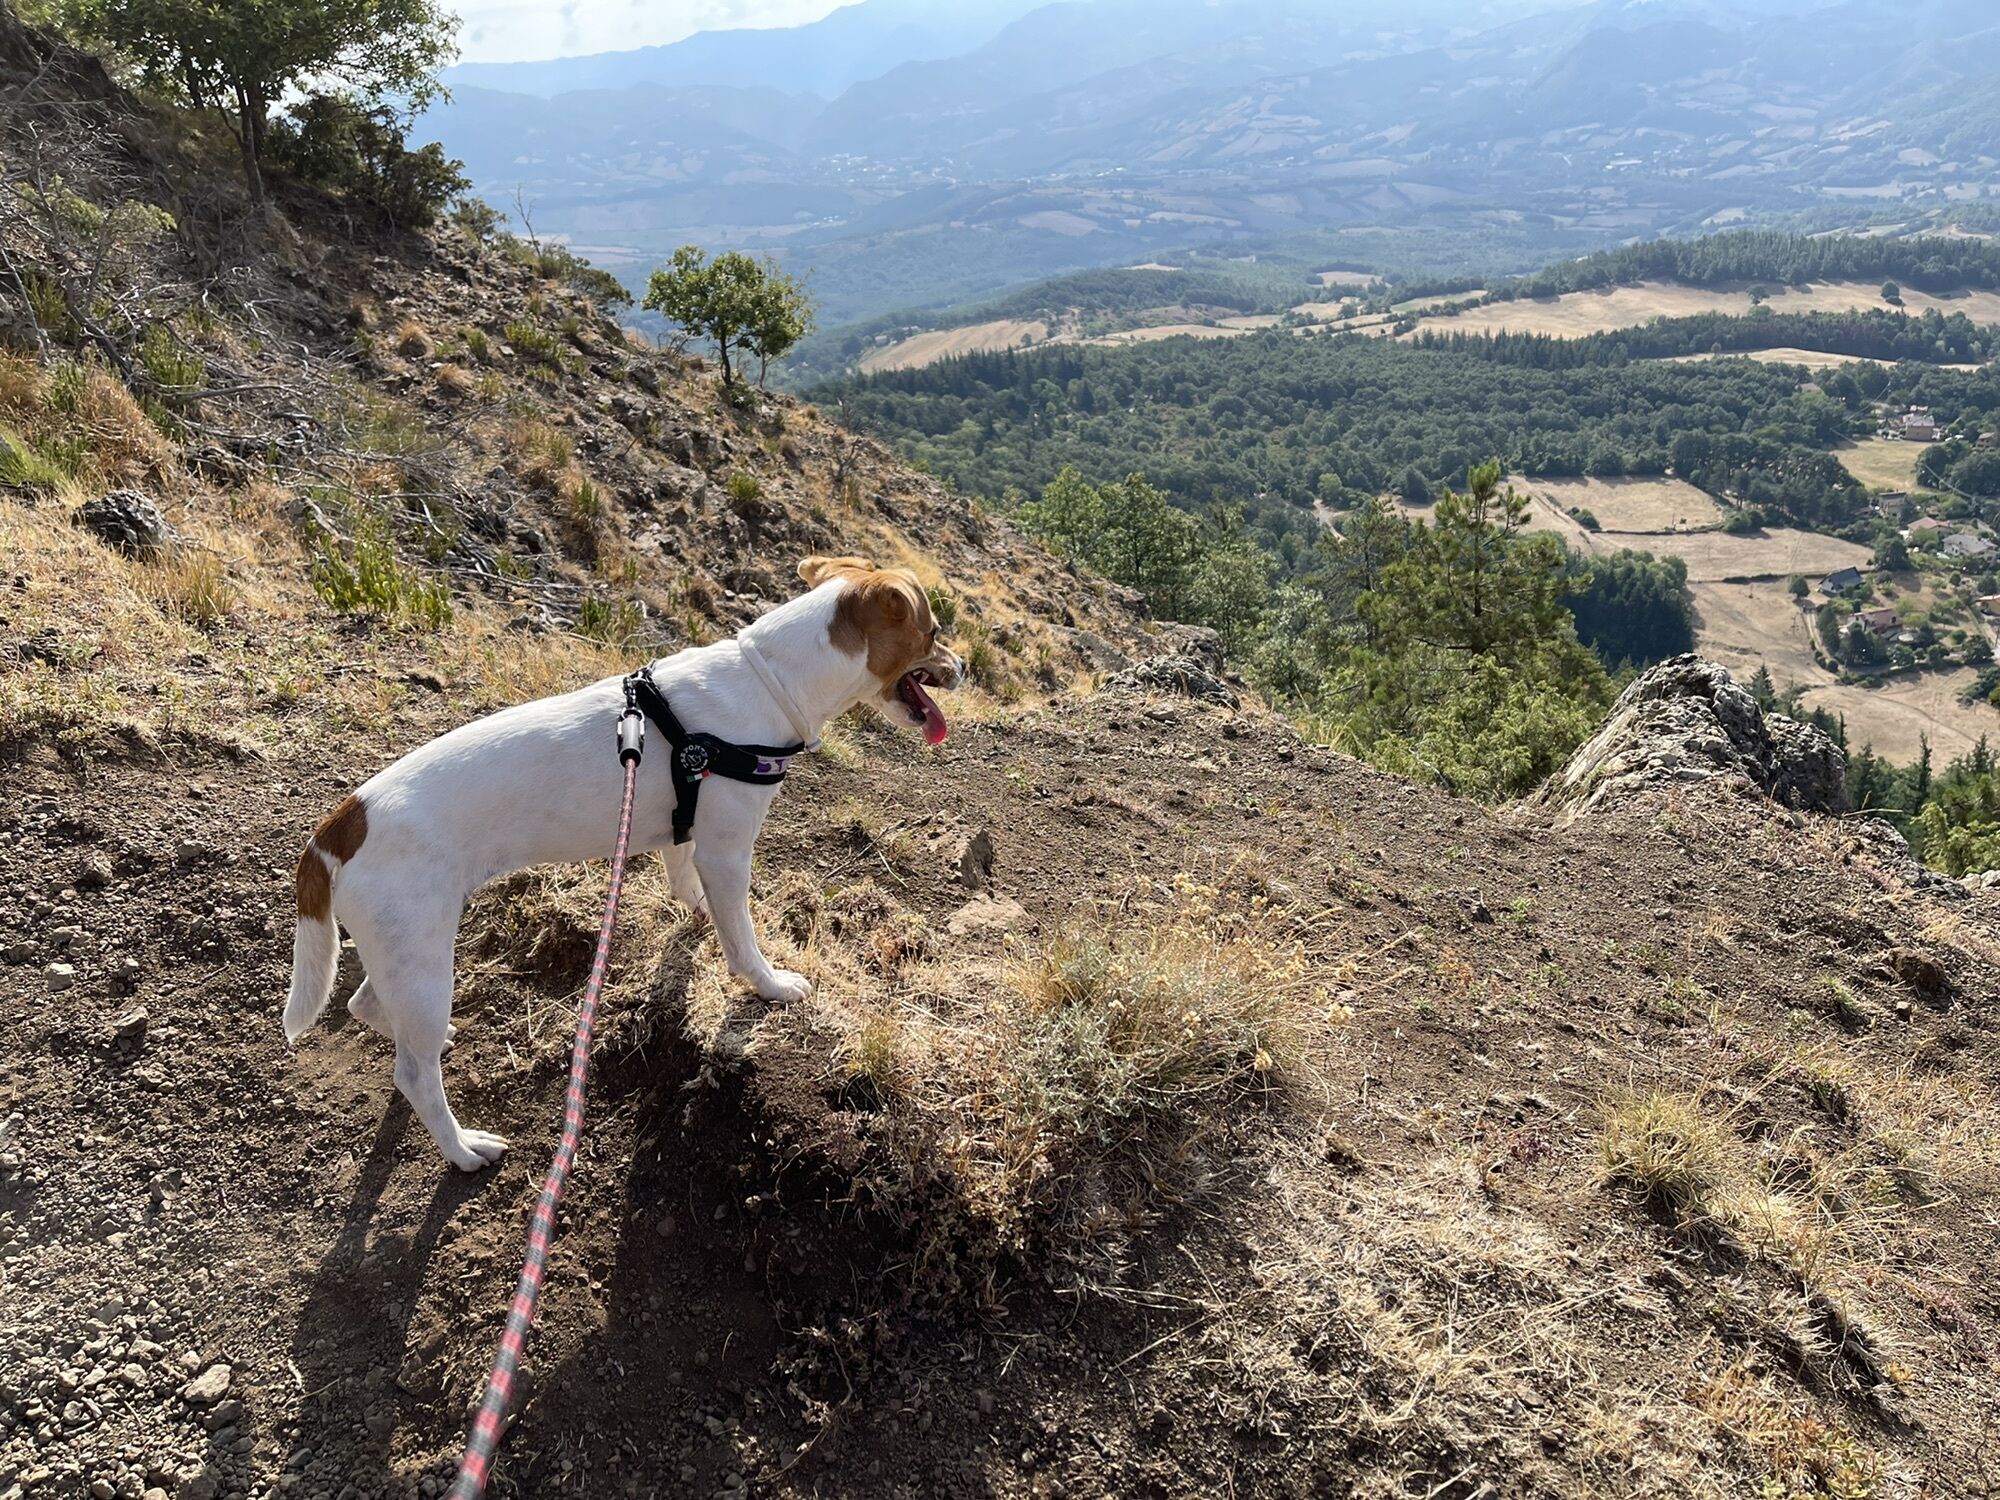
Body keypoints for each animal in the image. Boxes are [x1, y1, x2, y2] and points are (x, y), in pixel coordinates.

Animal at [282, 556, 962, 1171]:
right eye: (933, 632)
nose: (963, 666)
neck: (769, 678)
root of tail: (338, 827)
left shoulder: (686, 830)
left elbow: (688, 887)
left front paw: (696, 917)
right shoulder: (728, 851)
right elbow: (742, 940)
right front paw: (769, 985)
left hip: (404, 954)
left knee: (366, 1007)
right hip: (423, 962)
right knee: (415, 1076)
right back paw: (463, 1148)